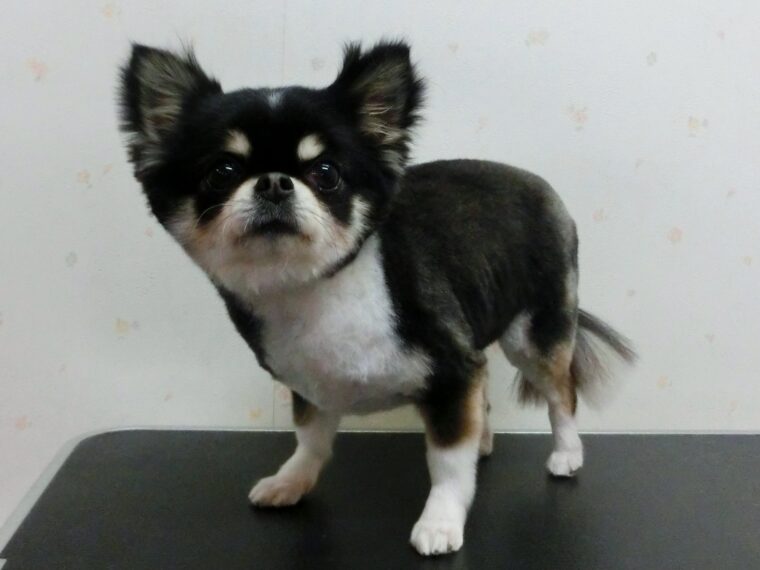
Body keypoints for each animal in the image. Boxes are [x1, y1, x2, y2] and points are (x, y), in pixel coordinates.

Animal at [118, 40, 635, 556]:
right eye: (222, 172)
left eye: (326, 172)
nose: (274, 181)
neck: (317, 287)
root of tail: (540, 186)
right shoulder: (313, 381)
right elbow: (310, 439)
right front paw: (292, 480)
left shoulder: (451, 372)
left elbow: (448, 460)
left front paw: (441, 521)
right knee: (488, 384)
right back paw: (486, 439)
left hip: (534, 335)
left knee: (561, 393)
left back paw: (566, 454)